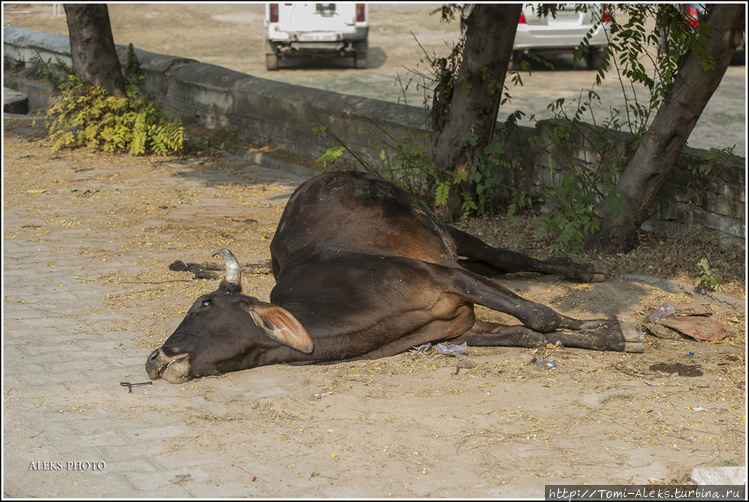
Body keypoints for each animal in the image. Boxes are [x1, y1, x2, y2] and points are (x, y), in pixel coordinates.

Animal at [148, 171, 644, 382]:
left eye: (204, 304)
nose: (155, 357)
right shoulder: (459, 325)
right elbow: (531, 334)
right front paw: (612, 336)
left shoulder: (441, 277)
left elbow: (541, 316)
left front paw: (619, 327)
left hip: (441, 227)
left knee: (503, 257)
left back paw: (584, 268)